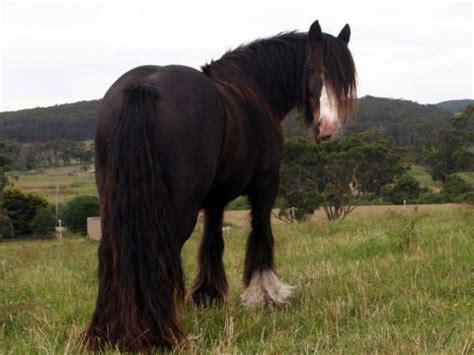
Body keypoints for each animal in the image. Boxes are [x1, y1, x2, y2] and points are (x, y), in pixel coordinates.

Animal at [86, 20, 356, 354]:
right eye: (315, 69)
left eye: (343, 80)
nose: (328, 126)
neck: (254, 89)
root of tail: (143, 88)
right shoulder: (266, 183)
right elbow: (261, 234)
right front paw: (266, 295)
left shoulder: (215, 199)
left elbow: (212, 241)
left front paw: (208, 295)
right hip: (176, 211)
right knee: (158, 253)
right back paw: (159, 336)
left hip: (114, 203)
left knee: (110, 251)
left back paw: (105, 333)